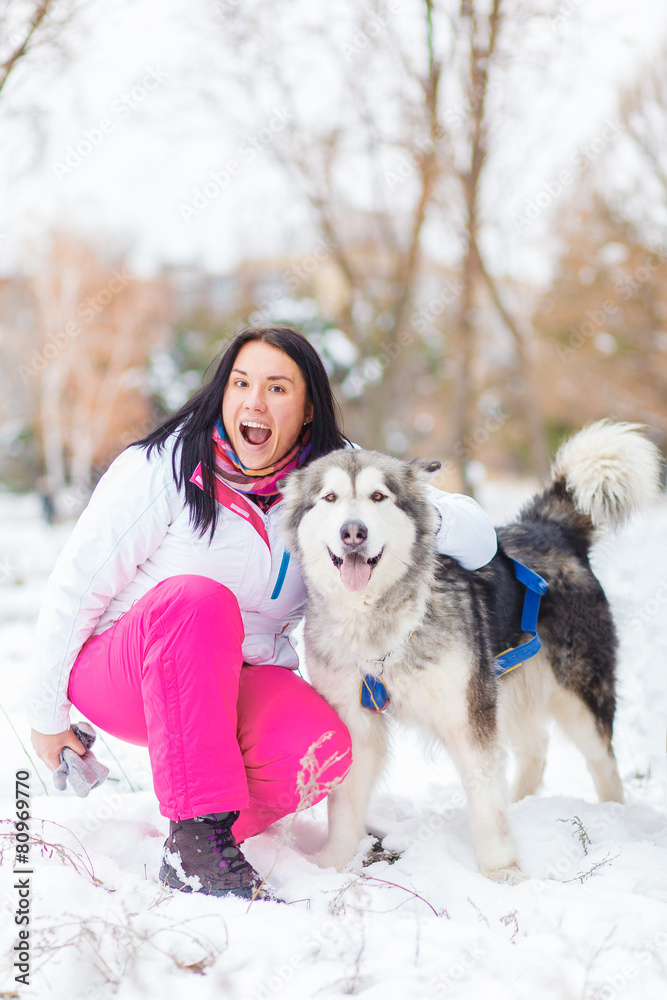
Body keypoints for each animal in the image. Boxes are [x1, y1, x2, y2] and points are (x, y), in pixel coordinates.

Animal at [280, 422, 664, 884]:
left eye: (378, 496)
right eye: (330, 498)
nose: (353, 532)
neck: (378, 628)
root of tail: (546, 529)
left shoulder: (467, 715)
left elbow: (485, 802)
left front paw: (501, 871)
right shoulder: (355, 720)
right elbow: (344, 804)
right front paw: (330, 867)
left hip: (575, 695)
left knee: (602, 762)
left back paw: (612, 816)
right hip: (508, 685)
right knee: (535, 747)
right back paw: (523, 806)